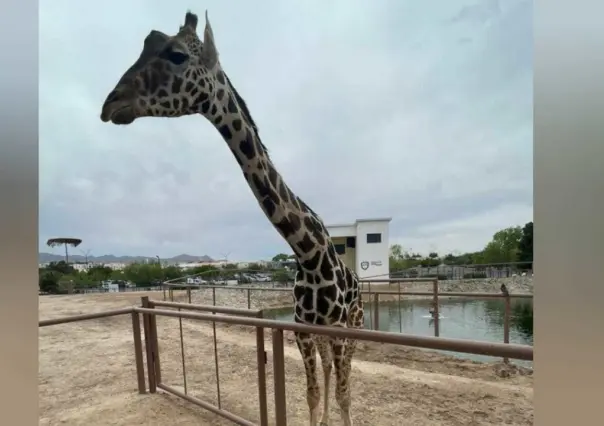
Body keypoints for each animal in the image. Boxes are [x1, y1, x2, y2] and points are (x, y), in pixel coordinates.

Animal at [99, 11, 366, 424]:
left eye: (177, 55)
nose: (110, 104)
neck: (309, 254)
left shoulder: (338, 329)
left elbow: (343, 393)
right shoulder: (303, 329)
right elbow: (311, 394)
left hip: (355, 324)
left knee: (344, 379)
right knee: (325, 371)